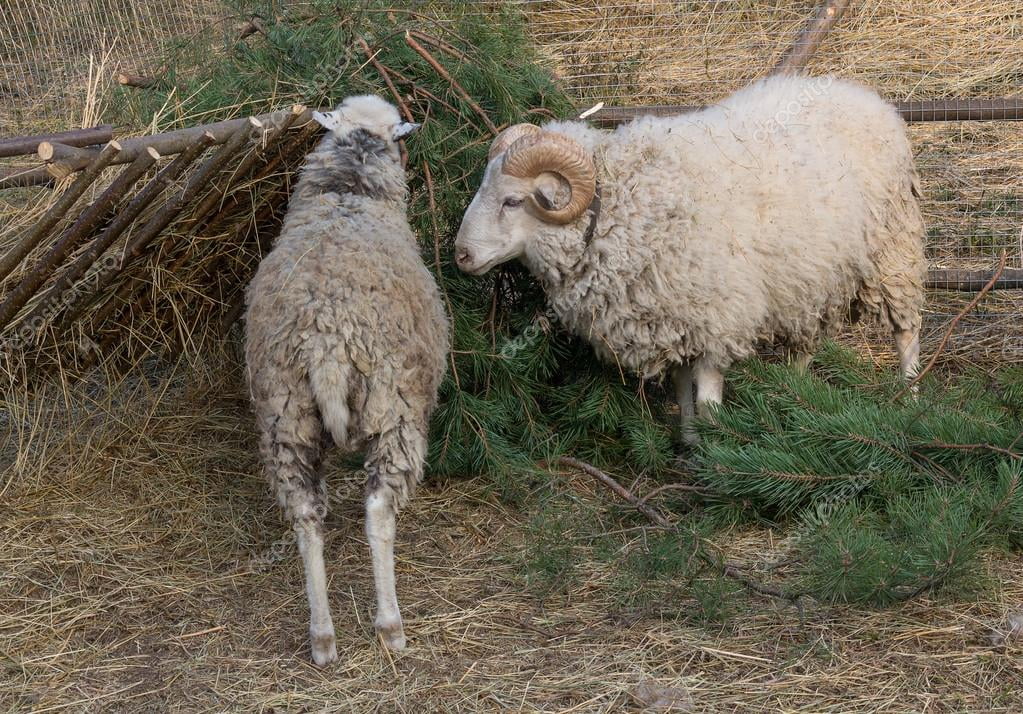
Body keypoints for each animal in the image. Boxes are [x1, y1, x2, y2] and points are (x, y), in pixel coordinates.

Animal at [243, 94, 448, 662]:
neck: (347, 193)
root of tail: (327, 339)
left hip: (284, 411)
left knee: (305, 516)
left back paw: (322, 636)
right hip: (396, 406)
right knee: (377, 511)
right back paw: (390, 626)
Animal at [456, 73, 928, 439]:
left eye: (513, 201)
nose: (460, 254)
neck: (624, 204)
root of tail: (867, 97)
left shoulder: (717, 321)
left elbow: (708, 402)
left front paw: (717, 461)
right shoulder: (674, 321)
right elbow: (684, 398)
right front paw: (688, 446)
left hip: (893, 249)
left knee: (906, 330)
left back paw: (910, 399)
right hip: (811, 272)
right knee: (807, 340)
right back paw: (792, 395)